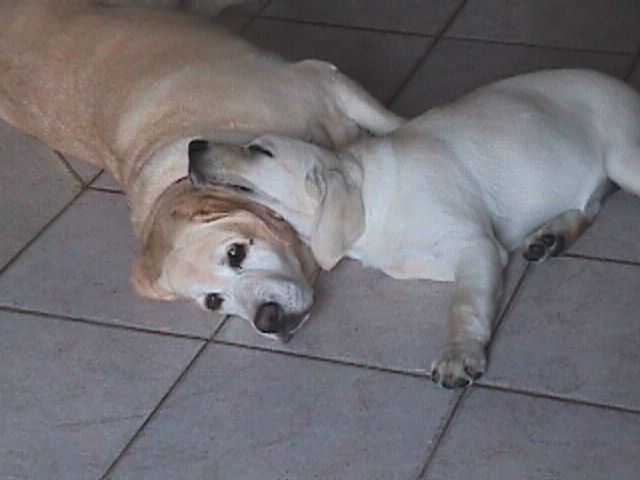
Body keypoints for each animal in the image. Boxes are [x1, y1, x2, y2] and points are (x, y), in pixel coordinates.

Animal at [185, 69, 640, 388]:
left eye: (260, 150)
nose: (193, 145)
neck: (371, 197)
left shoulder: (475, 244)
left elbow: (464, 303)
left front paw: (459, 353)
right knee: (592, 201)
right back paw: (552, 234)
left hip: (625, 159)